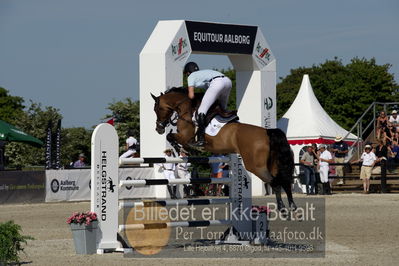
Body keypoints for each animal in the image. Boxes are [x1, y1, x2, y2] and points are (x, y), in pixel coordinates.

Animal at [152, 87, 298, 212]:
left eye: (157, 108)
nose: (158, 129)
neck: (187, 110)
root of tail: (268, 132)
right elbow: (171, 137)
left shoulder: (185, 136)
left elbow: (172, 137)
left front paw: (184, 149)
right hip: (272, 164)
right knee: (283, 181)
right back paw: (291, 206)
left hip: (256, 166)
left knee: (276, 182)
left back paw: (283, 208)